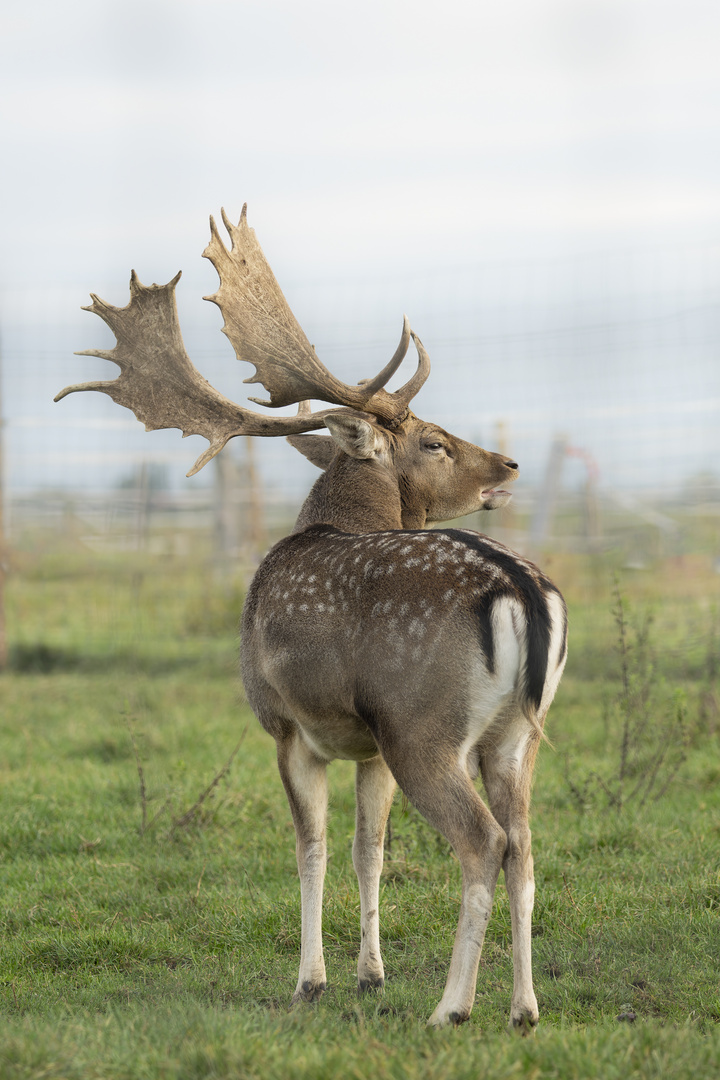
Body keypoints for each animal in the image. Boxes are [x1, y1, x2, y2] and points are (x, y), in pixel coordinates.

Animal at [55, 203, 569, 1028]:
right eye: (433, 439)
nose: (507, 465)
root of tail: (523, 590)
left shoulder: (287, 724)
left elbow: (311, 849)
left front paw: (310, 981)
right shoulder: (367, 747)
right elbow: (368, 850)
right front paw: (369, 974)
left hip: (423, 727)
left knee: (482, 842)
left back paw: (451, 1009)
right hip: (513, 736)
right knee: (523, 844)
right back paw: (523, 1009)